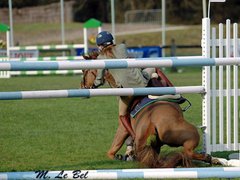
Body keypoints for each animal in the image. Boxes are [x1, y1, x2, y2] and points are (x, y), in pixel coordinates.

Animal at [81, 52, 212, 168]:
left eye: (85, 71)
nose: (83, 87)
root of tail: (155, 123)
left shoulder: (122, 128)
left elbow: (112, 150)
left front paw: (122, 156)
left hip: (191, 134)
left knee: (187, 152)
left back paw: (209, 158)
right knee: (183, 153)